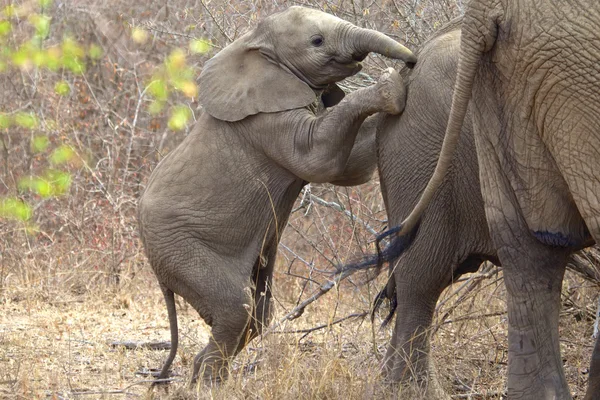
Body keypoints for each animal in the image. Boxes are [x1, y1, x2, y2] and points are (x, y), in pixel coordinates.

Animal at [138, 5, 418, 384]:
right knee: (236, 310)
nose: (413, 60)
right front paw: (391, 85)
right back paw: (206, 384)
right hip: (177, 248)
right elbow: (320, 159)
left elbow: (351, 167)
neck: (257, 48)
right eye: (317, 41)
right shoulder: (266, 123)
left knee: (258, 314)